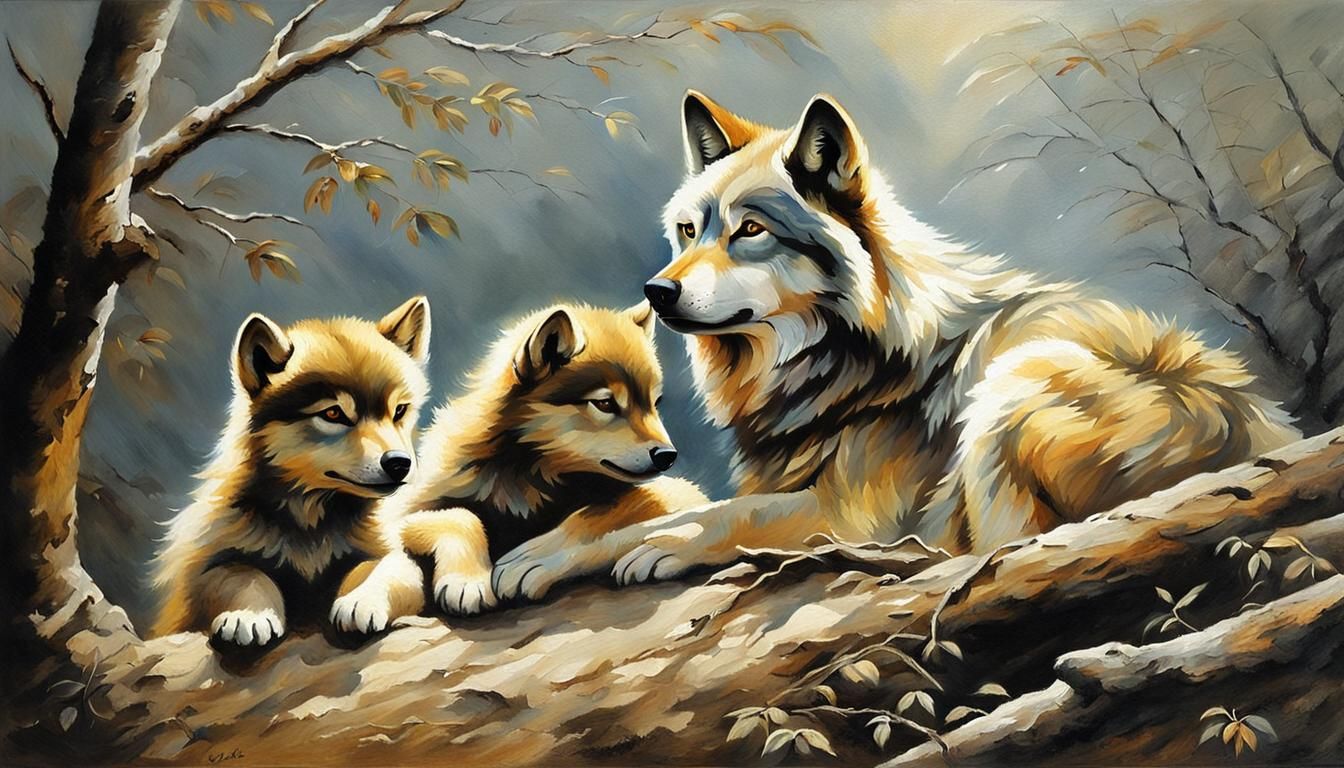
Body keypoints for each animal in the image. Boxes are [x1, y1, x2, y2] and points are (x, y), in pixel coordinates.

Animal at [152, 297, 432, 645]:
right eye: (333, 413)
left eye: (399, 411)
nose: (399, 463)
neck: (311, 522)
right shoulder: (201, 577)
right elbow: (242, 573)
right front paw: (250, 614)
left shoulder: (391, 555)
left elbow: (383, 568)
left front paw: (362, 599)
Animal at [331, 301, 707, 633]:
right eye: (605, 404)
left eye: (654, 404)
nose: (667, 455)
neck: (527, 476)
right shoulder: (401, 513)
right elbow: (454, 518)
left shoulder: (682, 493)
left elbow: (605, 511)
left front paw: (534, 560)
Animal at [612, 91, 1298, 583]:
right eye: (688, 230)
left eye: (750, 230)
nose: (656, 291)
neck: (839, 357)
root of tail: (1265, 429)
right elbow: (683, 509)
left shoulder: (857, 511)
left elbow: (734, 512)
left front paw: (669, 544)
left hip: (1014, 381)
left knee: (997, 552)